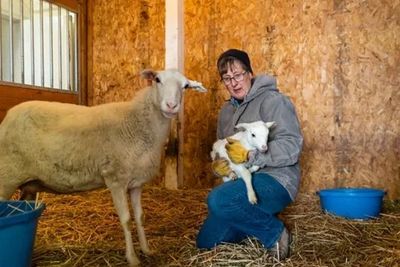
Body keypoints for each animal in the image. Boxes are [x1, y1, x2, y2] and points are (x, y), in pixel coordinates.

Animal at [0, 69, 208, 267]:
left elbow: (139, 217)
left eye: (186, 86)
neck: (138, 124)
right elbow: (126, 220)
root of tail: (8, 117)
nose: (171, 106)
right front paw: (132, 258)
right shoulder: (115, 179)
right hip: (7, 176)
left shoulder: (136, 183)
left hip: (28, 185)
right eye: (157, 79)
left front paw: (147, 250)